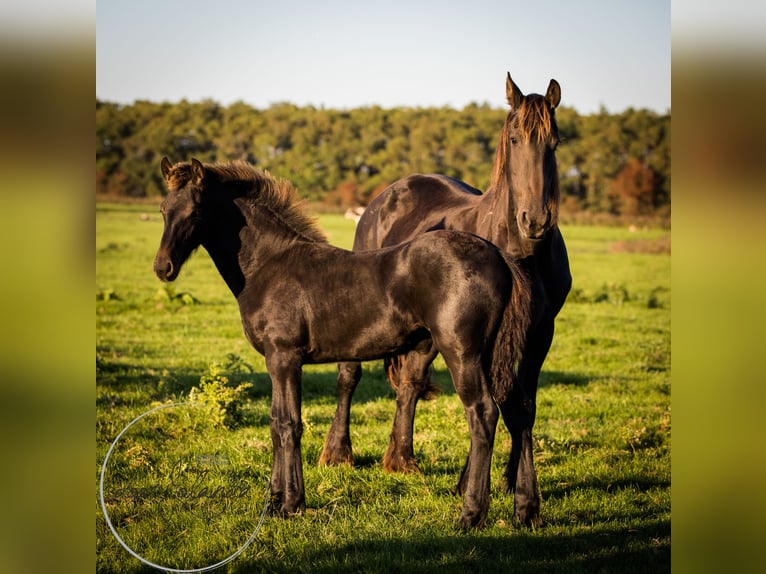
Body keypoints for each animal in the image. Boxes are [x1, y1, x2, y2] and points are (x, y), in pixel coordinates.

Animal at [152, 158, 532, 532]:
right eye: (163, 209)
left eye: (195, 212)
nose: (162, 267)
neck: (269, 265)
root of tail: (498, 256)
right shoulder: (274, 362)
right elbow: (275, 422)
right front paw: (273, 502)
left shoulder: (284, 357)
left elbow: (289, 423)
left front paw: (292, 504)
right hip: (493, 356)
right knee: (518, 412)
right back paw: (526, 510)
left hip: (463, 353)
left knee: (483, 414)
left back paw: (471, 516)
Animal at [320, 74, 572, 528]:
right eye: (514, 138)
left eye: (555, 143)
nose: (536, 221)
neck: (522, 253)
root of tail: (387, 195)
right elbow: (501, 406)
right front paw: (480, 490)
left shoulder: (539, 334)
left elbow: (523, 406)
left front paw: (515, 492)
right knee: (350, 376)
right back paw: (337, 453)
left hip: (430, 335)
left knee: (410, 383)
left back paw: (400, 459)